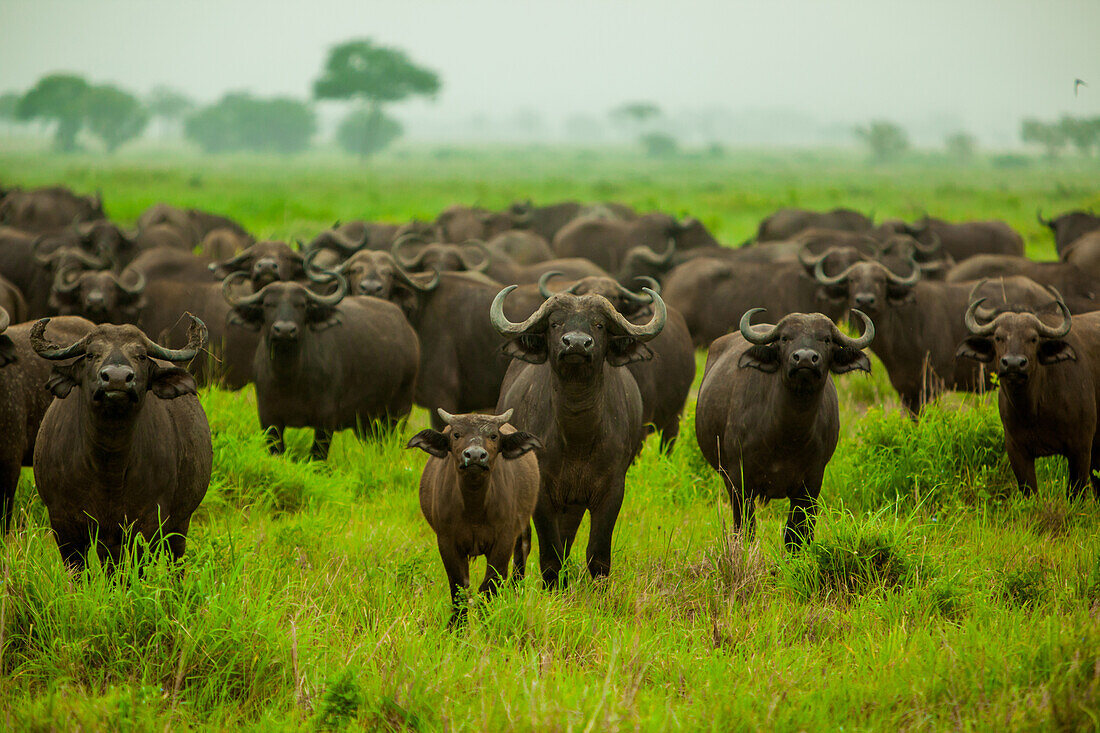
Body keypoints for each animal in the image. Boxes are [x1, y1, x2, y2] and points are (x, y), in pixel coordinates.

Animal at [30, 314, 210, 563]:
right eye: (90, 354)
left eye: (141, 356)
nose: (117, 379)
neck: (108, 466)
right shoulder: (64, 524)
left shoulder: (147, 523)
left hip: (180, 524)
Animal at [404, 405, 541, 620]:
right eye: (456, 434)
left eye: (493, 435)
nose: (475, 456)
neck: (474, 509)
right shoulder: (447, 542)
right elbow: (459, 588)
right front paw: (456, 625)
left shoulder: (504, 541)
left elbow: (489, 587)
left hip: (523, 528)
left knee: (521, 556)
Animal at [495, 283, 664, 581]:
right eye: (555, 323)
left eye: (599, 324)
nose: (575, 343)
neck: (577, 438)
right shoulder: (543, 494)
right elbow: (549, 557)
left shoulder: (611, 491)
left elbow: (597, 556)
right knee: (522, 541)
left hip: (572, 505)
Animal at [699, 308, 871, 548]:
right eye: (784, 338)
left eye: (826, 339)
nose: (805, 358)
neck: (787, 437)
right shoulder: (738, 481)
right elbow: (745, 530)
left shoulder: (811, 484)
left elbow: (797, 534)